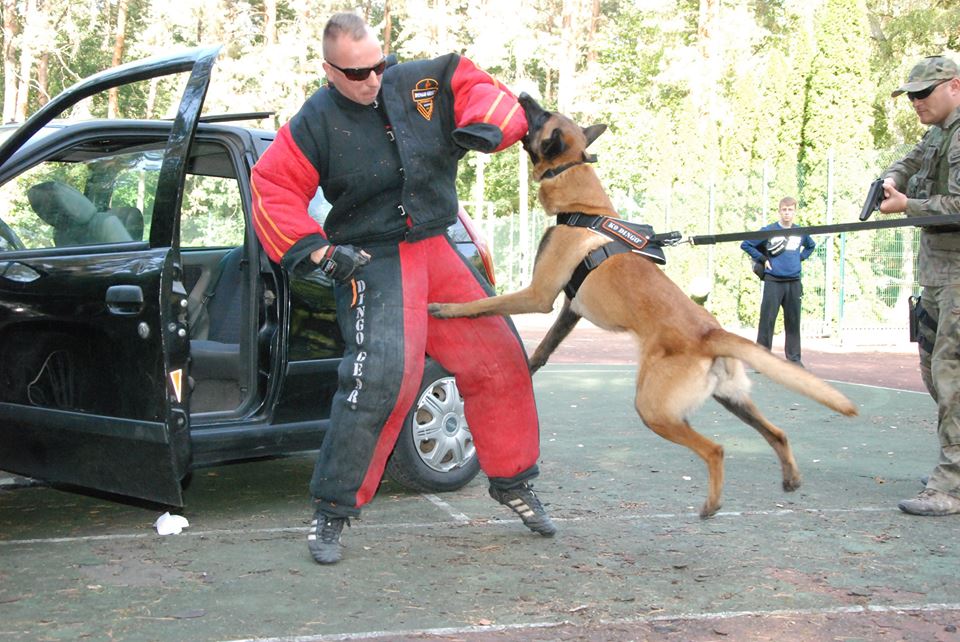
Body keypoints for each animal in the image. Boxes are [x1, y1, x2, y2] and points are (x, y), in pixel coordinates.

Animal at [432, 94, 860, 516]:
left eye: (541, 115)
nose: (523, 95)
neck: (583, 205)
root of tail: (710, 332)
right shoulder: (571, 309)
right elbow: (543, 349)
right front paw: (529, 368)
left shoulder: (539, 295)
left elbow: (486, 303)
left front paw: (446, 308)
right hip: (732, 398)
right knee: (778, 432)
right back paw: (790, 477)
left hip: (653, 409)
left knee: (716, 449)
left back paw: (712, 503)